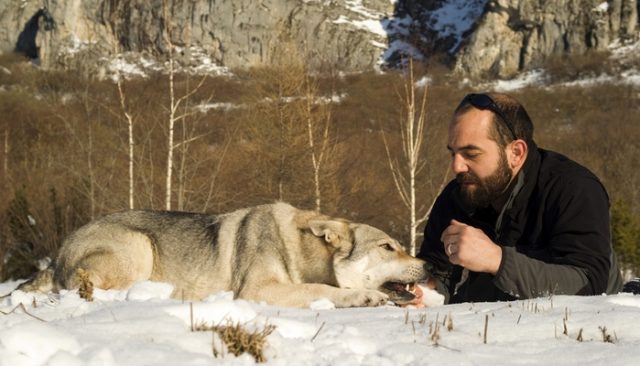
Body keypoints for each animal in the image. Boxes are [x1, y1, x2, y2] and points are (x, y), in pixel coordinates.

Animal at [16, 202, 424, 308]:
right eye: (388, 247)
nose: (427, 265)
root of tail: (58, 253)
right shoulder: (257, 290)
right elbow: (322, 290)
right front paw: (361, 297)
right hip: (139, 247)